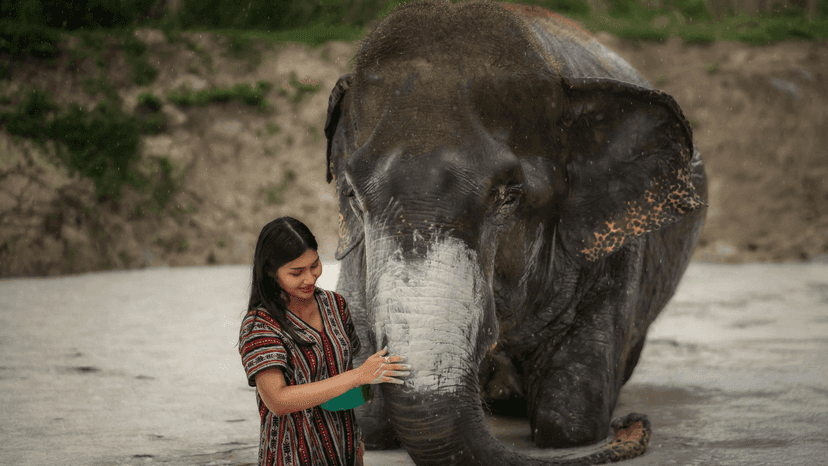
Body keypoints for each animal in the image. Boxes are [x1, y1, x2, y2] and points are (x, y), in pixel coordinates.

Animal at [323, 2, 707, 465]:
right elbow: (370, 422)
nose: (631, 424)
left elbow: (569, 421)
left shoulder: (615, 252)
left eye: (508, 197)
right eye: (352, 196)